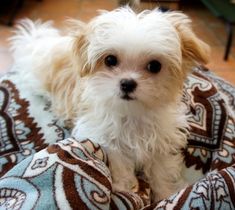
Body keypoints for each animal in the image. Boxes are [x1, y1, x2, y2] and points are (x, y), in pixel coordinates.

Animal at [10, 7, 209, 201]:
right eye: (110, 60)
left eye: (155, 66)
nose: (127, 83)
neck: (132, 114)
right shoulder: (105, 138)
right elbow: (119, 164)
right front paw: (125, 191)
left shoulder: (161, 139)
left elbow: (162, 170)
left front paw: (166, 195)